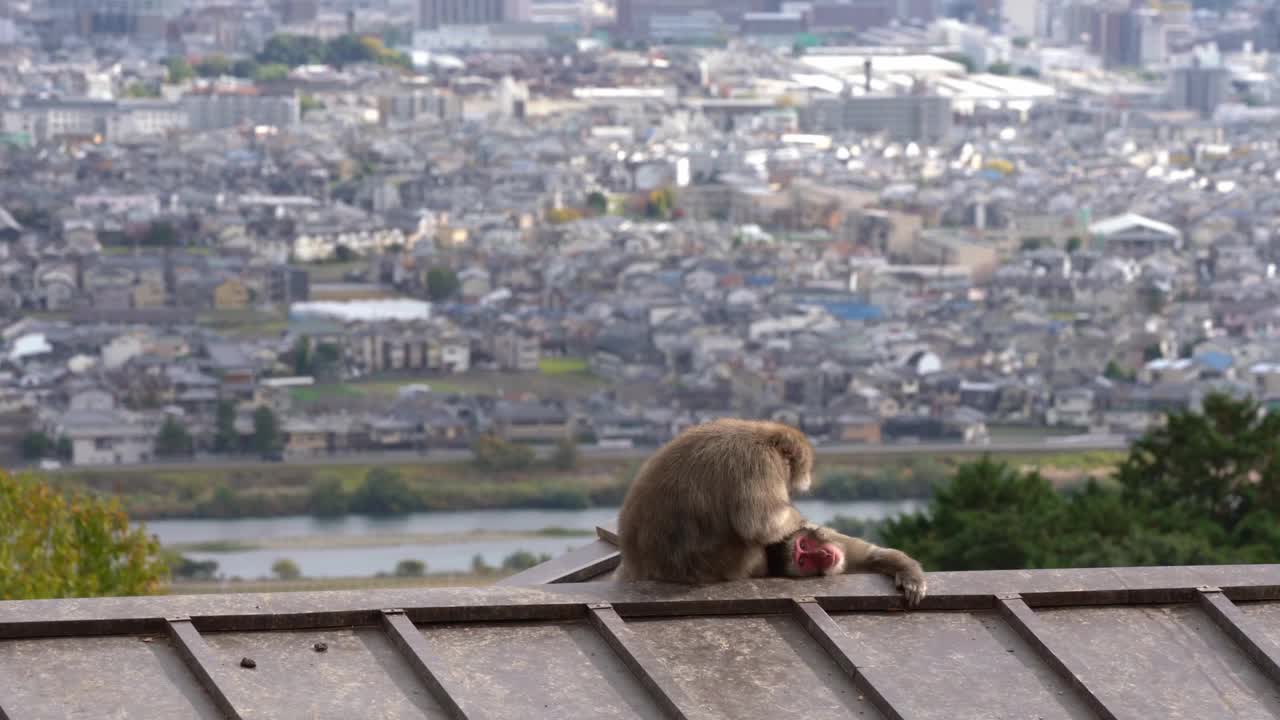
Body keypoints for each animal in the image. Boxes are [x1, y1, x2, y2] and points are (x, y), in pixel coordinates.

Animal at [614, 417, 926, 602]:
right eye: (803, 558)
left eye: (806, 548)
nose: (823, 555)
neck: (761, 435)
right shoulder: (759, 462)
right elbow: (763, 523)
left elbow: (874, 554)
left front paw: (909, 575)